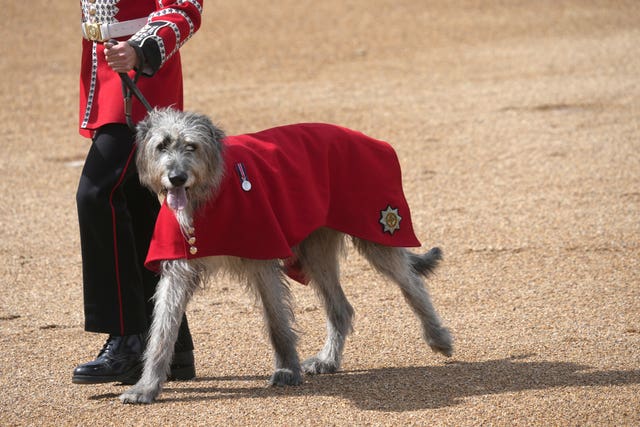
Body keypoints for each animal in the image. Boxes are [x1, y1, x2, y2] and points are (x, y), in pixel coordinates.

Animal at [119, 108, 450, 404]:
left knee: (410, 283)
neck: (208, 195)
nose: (177, 177)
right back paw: (328, 360)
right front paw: (146, 387)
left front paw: (287, 370)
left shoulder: (262, 253)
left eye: (192, 146)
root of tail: (371, 140)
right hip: (315, 249)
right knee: (340, 308)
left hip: (375, 228)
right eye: (162, 145)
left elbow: (276, 320)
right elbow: (163, 329)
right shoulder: (179, 267)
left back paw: (438, 336)